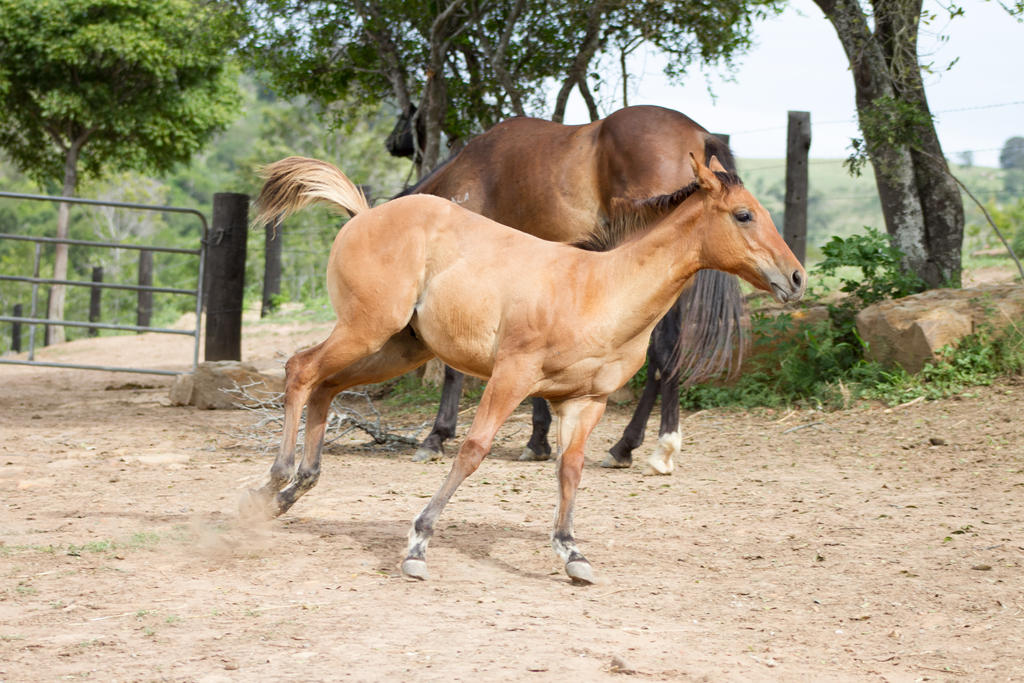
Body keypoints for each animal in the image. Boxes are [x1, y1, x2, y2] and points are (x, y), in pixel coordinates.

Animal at [243, 153, 802, 581]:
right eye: (744, 215)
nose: (795, 277)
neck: (600, 289)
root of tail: (363, 214)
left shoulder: (585, 401)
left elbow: (570, 469)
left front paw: (572, 552)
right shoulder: (512, 376)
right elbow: (473, 451)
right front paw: (418, 544)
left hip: (395, 348)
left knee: (325, 385)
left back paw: (294, 489)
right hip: (366, 329)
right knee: (300, 370)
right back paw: (276, 481)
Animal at [403, 105, 749, 475]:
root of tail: (699, 133)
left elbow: (455, 363)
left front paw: (436, 436)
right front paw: (538, 440)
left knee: (664, 349)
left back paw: (657, 448)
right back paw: (627, 446)